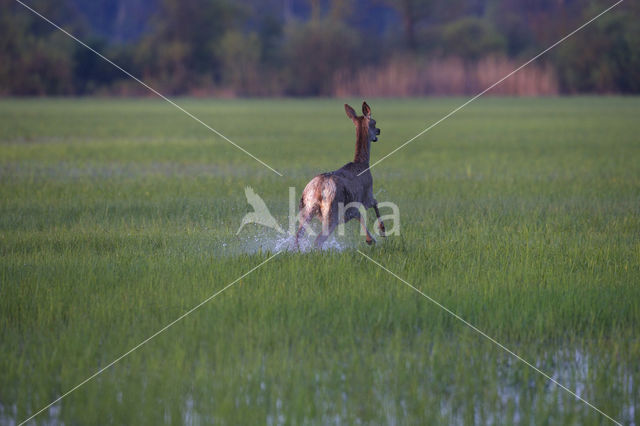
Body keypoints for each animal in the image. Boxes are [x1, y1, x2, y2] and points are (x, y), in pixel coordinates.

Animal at [296, 101, 384, 248]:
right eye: (374, 122)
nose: (379, 130)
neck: (363, 164)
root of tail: (318, 190)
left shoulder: (351, 209)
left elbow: (359, 215)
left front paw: (370, 238)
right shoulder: (367, 193)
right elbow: (375, 203)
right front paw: (379, 232)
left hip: (306, 210)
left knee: (298, 236)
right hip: (332, 211)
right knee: (318, 240)